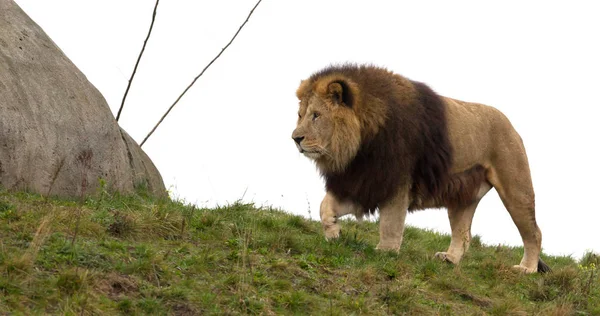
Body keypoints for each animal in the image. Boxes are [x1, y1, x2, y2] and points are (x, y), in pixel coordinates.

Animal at [292, 63, 552, 272]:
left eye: (316, 115)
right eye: (300, 115)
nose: (296, 138)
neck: (360, 145)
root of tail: (511, 125)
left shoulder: (396, 183)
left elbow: (390, 223)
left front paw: (385, 253)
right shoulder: (366, 182)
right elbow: (325, 207)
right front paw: (334, 234)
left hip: (515, 188)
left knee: (534, 233)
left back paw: (527, 269)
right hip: (463, 196)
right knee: (464, 234)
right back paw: (450, 258)